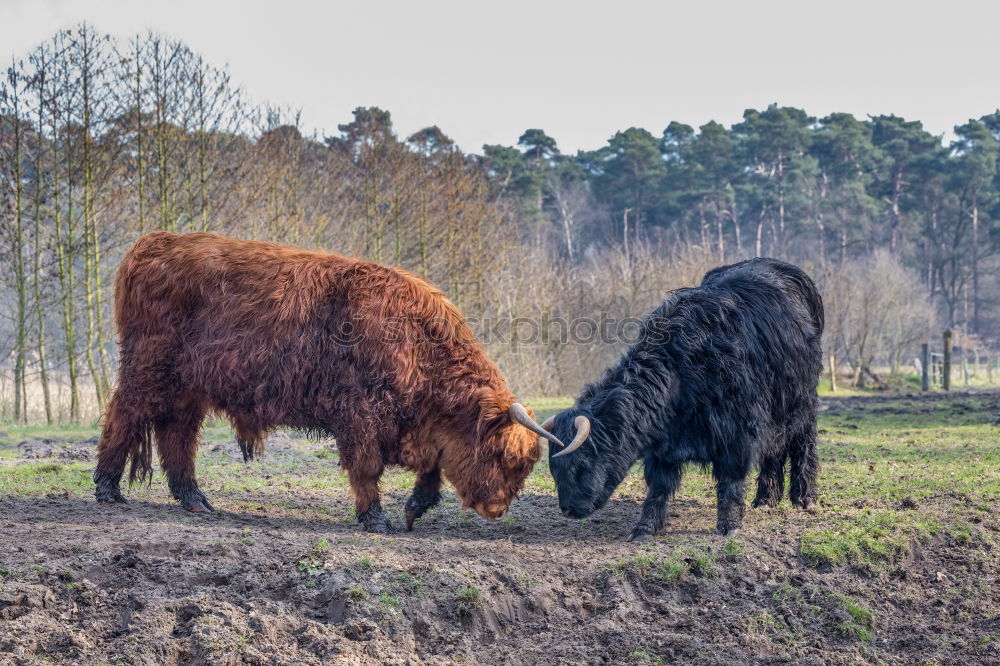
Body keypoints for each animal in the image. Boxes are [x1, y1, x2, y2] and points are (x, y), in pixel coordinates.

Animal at [94, 231, 564, 532]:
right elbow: (367, 468)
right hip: (147, 370)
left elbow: (431, 473)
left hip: (188, 388)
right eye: (503, 456)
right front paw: (376, 520)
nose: (497, 509)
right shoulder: (360, 416)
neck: (418, 342)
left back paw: (195, 499)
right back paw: (108, 490)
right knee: (124, 416)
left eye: (525, 464)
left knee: (177, 434)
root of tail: (154, 242)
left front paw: (412, 510)